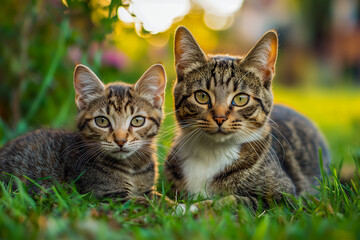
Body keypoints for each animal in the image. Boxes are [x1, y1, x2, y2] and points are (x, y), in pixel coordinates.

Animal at [0, 62, 166, 202]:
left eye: (137, 121)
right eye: (102, 121)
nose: (120, 141)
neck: (133, 168)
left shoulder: (148, 190)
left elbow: (160, 198)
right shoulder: (107, 195)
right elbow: (145, 203)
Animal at [165, 26, 330, 210]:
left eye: (241, 99)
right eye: (201, 96)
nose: (220, 117)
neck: (212, 152)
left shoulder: (285, 199)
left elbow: (232, 201)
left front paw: (190, 207)